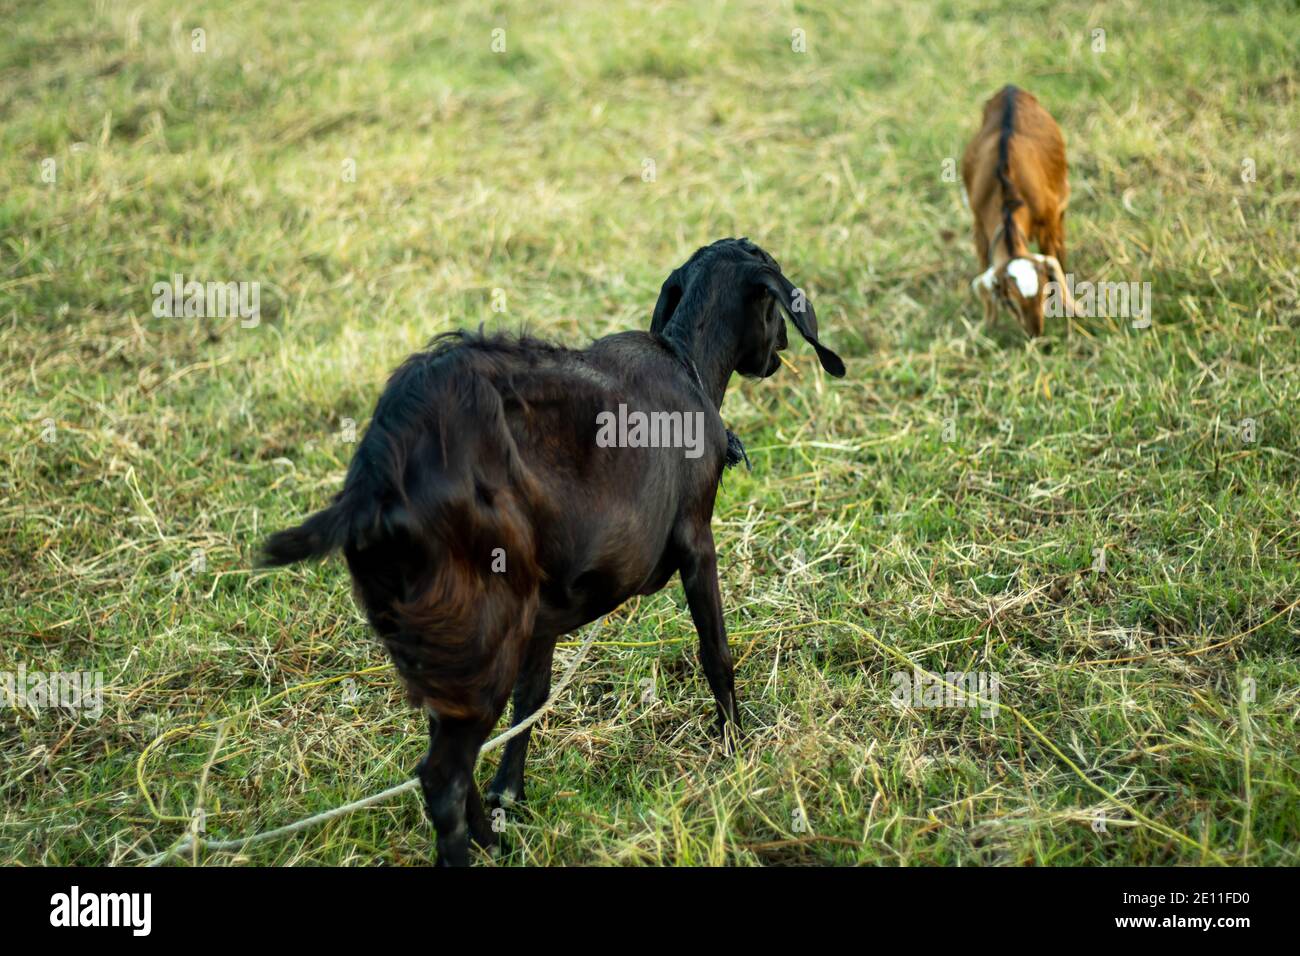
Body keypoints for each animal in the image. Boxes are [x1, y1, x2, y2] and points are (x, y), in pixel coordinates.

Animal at [257, 238, 846, 865]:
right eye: (774, 308)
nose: (779, 351)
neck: (685, 362)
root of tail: (377, 474)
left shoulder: (542, 613)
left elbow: (531, 700)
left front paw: (510, 793)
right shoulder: (696, 539)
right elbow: (717, 652)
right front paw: (736, 749)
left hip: (464, 634)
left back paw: (491, 836)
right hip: (485, 622)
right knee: (441, 777)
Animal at [961, 84, 1074, 336]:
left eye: (1045, 292)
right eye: (1009, 302)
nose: (1035, 333)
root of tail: (1010, 89)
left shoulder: (1048, 224)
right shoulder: (979, 225)